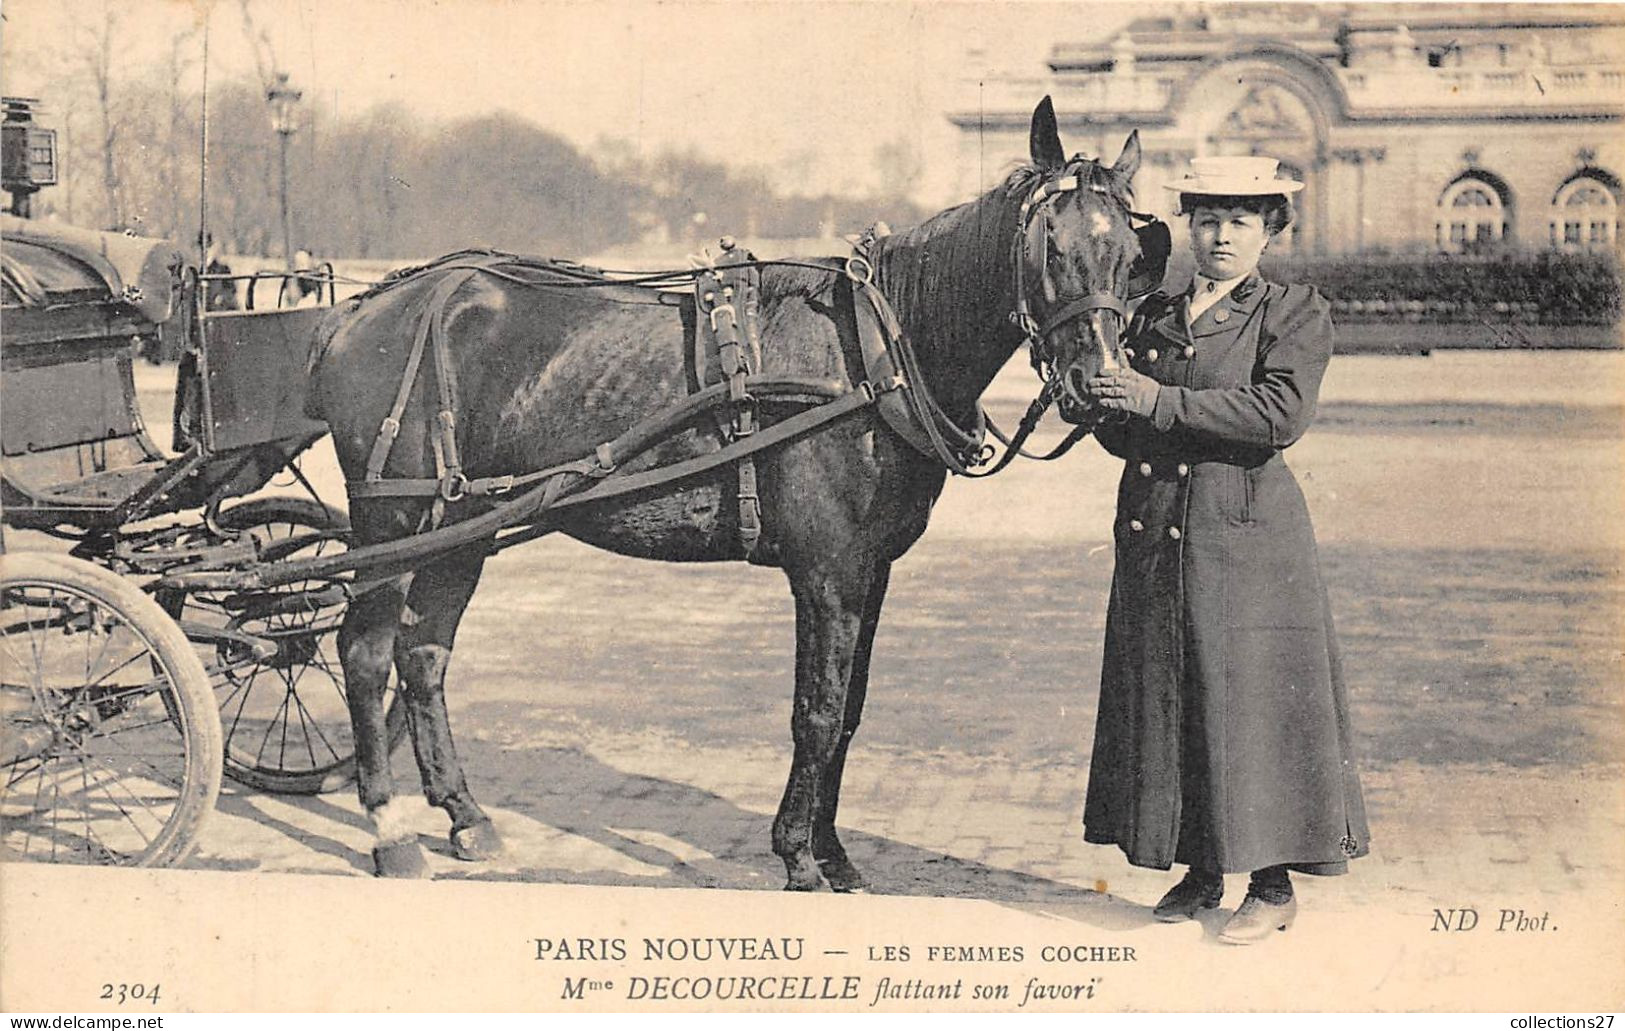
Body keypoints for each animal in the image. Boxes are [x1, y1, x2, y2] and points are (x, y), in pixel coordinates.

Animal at [305, 96, 1144, 884]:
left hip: (465, 524)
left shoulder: (869, 572)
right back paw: (390, 830)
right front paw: (798, 855)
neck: (870, 352)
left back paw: (466, 816)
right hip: (395, 521)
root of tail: (362, 309)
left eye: (1132, 254)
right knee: (365, 655)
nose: (1099, 382)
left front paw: (833, 851)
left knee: (423, 657)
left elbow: (850, 712)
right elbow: (817, 712)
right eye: (1050, 247)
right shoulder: (827, 572)